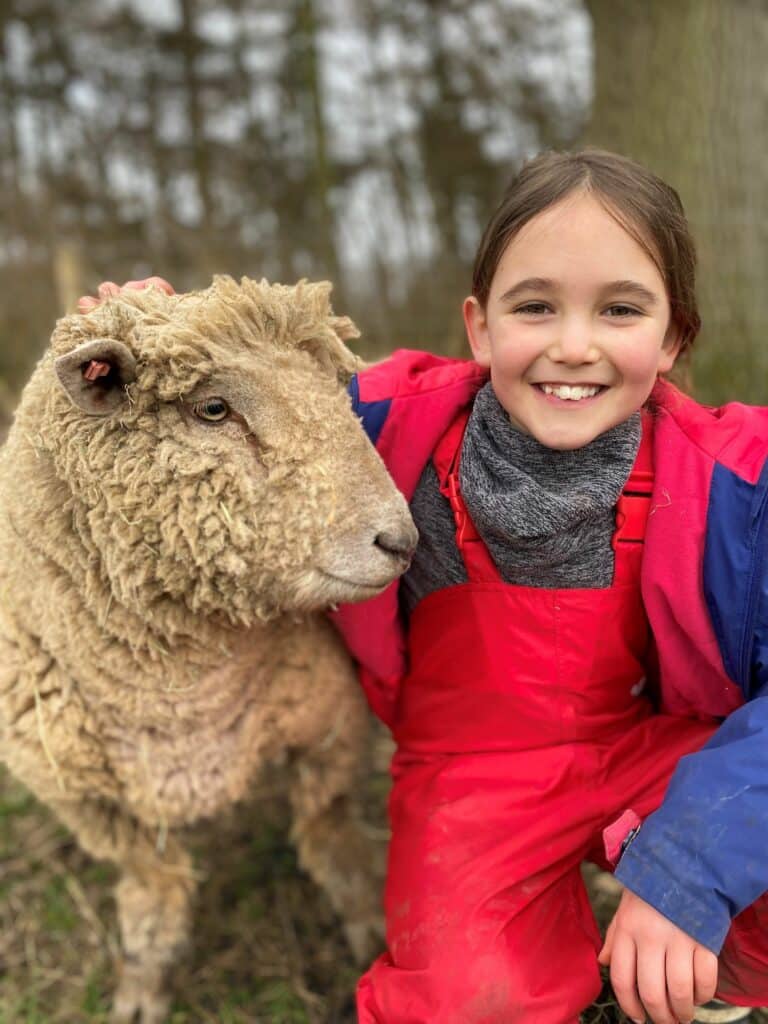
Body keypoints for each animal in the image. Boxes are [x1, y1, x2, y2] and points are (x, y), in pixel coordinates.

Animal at [0, 275, 417, 1024]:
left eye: (338, 390)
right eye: (213, 409)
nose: (400, 541)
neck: (177, 699)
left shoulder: (329, 729)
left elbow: (332, 839)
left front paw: (368, 929)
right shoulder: (81, 795)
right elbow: (152, 882)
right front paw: (143, 985)